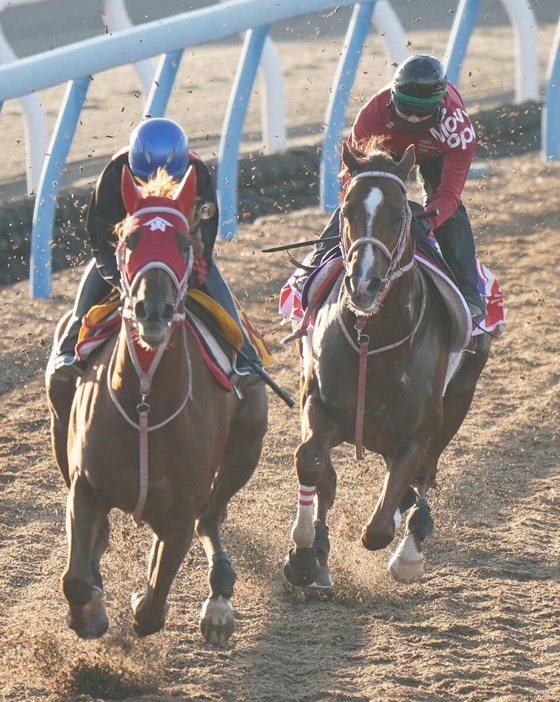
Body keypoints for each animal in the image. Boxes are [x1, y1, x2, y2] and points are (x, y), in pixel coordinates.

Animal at [46, 165, 270, 644]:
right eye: (129, 238)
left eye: (185, 243)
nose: (154, 310)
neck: (145, 400)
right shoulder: (85, 486)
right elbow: (76, 578)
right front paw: (90, 611)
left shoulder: (180, 509)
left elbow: (152, 604)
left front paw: (138, 602)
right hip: (58, 422)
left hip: (247, 444)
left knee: (212, 517)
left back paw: (218, 600)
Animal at [284, 140, 490, 592]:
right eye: (346, 211)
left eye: (399, 216)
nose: (364, 283)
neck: (373, 339)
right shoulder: (318, 402)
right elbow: (311, 462)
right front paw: (305, 550)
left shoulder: (419, 432)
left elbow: (378, 528)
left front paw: (405, 550)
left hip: (460, 398)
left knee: (423, 477)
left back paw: (410, 545)